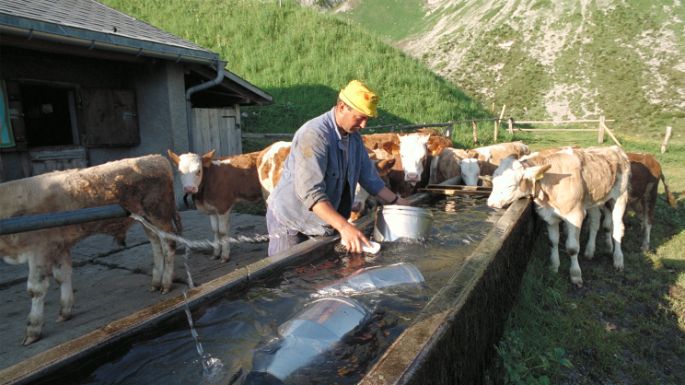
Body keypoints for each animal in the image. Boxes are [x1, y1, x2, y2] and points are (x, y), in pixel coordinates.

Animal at [0, 154, 180, 344]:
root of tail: (155, 157)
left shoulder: (40, 249)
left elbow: (35, 289)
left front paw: (33, 329)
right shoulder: (59, 246)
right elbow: (62, 276)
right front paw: (65, 311)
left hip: (159, 213)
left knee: (169, 243)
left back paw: (166, 283)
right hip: (146, 219)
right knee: (155, 243)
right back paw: (156, 282)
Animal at [486, 146, 632, 284]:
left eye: (510, 186)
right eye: (493, 181)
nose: (490, 203)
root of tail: (614, 149)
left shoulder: (575, 216)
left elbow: (572, 248)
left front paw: (575, 274)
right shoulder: (549, 216)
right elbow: (553, 241)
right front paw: (554, 267)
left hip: (620, 197)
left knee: (617, 228)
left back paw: (618, 259)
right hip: (594, 200)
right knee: (595, 223)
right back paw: (591, 250)